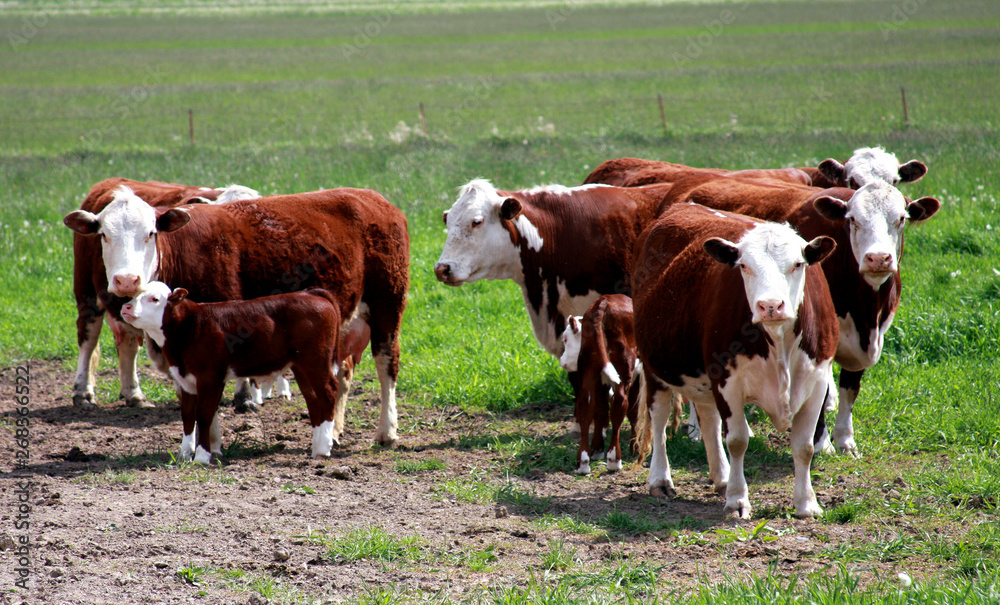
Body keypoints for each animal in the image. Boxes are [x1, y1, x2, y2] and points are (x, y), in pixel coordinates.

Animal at [64, 177, 264, 408]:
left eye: (151, 233)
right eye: (104, 234)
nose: (126, 280)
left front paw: (247, 396)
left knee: (126, 343)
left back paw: (131, 393)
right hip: (87, 292)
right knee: (89, 339)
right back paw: (84, 392)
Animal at [122, 280, 344, 460]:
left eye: (154, 299)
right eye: (134, 296)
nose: (126, 307)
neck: (190, 326)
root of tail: (310, 293)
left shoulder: (210, 377)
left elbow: (204, 415)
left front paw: (202, 457)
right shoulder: (186, 381)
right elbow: (188, 416)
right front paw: (184, 454)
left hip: (315, 360)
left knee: (329, 391)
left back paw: (325, 447)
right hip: (300, 366)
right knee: (313, 398)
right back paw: (317, 447)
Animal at [632, 205, 836, 516]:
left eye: (798, 264)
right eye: (744, 266)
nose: (770, 306)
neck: (778, 342)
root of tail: (684, 206)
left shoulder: (817, 381)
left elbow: (804, 447)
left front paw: (807, 503)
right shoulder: (727, 381)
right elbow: (738, 440)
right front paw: (738, 499)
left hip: (704, 377)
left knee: (709, 420)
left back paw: (722, 477)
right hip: (656, 366)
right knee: (659, 420)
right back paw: (660, 479)